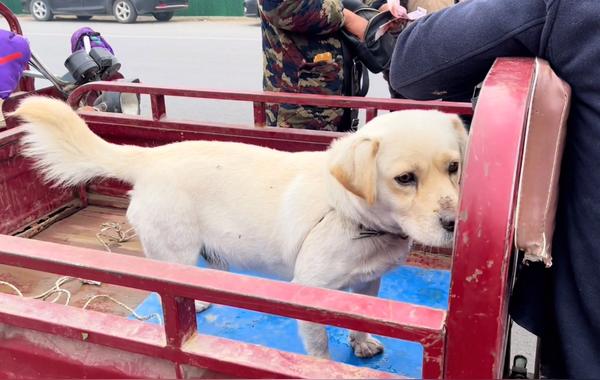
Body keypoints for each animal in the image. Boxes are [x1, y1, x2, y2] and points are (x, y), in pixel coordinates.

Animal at [11, 97, 466, 360]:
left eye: (454, 167)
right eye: (405, 179)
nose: (453, 224)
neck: (352, 216)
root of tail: (151, 158)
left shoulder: (368, 283)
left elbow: (359, 320)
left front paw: (361, 343)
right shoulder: (310, 293)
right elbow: (319, 349)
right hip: (174, 253)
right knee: (169, 294)